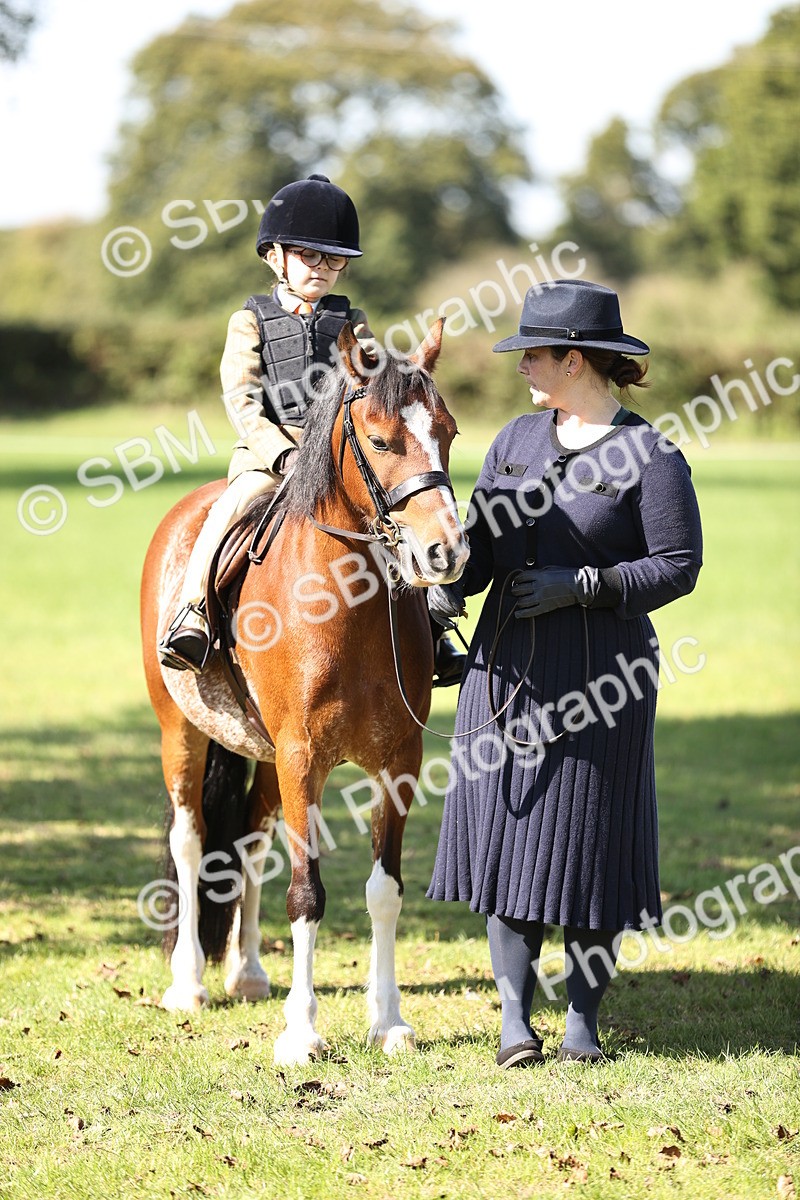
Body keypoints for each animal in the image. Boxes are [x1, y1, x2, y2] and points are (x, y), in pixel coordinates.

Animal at [140, 319, 469, 1065]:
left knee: (252, 843)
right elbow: (307, 893)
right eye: (380, 440)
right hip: (183, 733)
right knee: (191, 841)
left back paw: (249, 973)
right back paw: (189, 985)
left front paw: (390, 1022)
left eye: (448, 431)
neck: (346, 604)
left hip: (262, 757)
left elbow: (384, 890)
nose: (445, 553)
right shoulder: (301, 757)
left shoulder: (397, 763)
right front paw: (302, 1032)